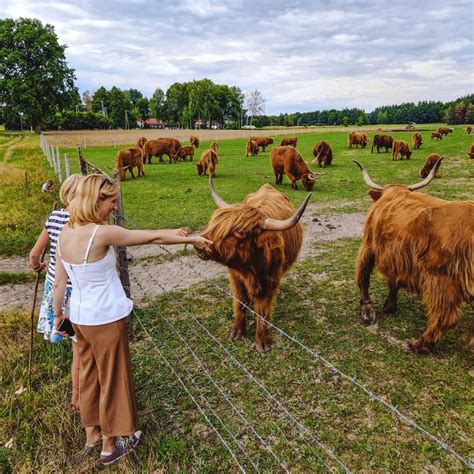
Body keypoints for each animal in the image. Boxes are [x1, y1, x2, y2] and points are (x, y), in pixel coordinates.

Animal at [195, 176, 312, 350]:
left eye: (240, 233)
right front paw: (237, 331)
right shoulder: (235, 277)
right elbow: (240, 302)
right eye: (215, 222)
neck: (250, 267)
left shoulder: (270, 280)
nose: (199, 245)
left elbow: (262, 309)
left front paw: (262, 340)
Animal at [354, 161, 472, 354]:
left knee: (445, 316)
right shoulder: (396, 258)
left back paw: (418, 344)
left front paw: (368, 310)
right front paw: (389, 307)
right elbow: (392, 282)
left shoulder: (369, 244)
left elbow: (363, 274)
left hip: (441, 279)